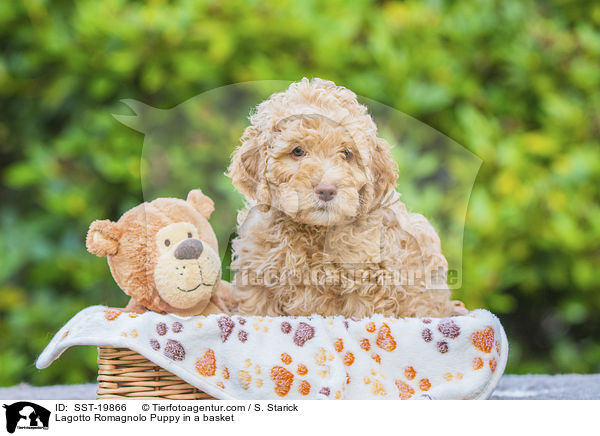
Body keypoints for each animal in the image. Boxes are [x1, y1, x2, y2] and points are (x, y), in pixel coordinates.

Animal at [225, 77, 464, 316]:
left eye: (347, 154)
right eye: (297, 151)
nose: (326, 190)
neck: (312, 231)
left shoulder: (366, 287)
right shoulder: (258, 280)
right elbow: (256, 311)